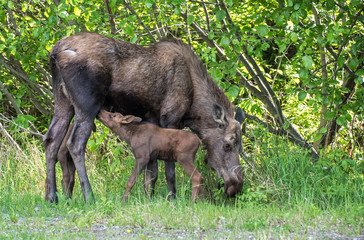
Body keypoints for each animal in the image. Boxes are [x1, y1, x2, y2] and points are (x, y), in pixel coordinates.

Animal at [45, 31, 245, 203]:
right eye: (227, 144)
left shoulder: (152, 121)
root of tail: (55, 52)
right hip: (86, 105)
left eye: (240, 146)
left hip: (63, 101)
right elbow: (169, 172)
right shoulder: (170, 119)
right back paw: (89, 196)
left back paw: (51, 197)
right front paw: (172, 198)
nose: (236, 187)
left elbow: (152, 173)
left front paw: (150, 198)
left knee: (51, 139)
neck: (194, 108)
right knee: (75, 144)